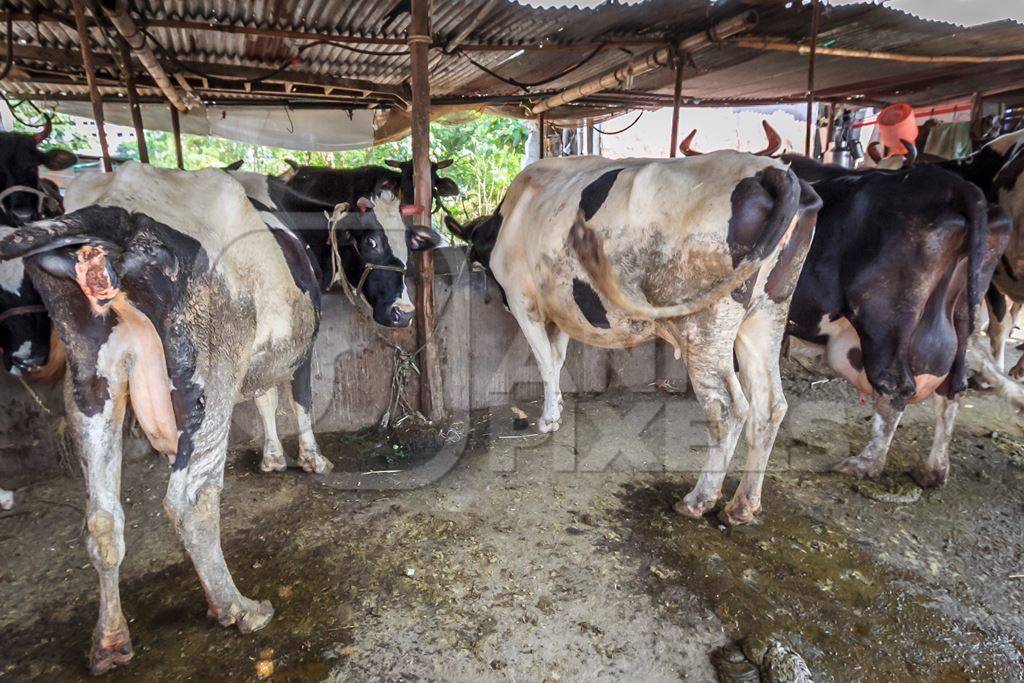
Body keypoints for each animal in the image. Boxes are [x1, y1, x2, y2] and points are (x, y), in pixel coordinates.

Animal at [0, 162, 331, 675]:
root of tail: (115, 210)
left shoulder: (259, 363)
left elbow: (263, 401)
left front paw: (273, 459)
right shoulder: (300, 347)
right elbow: (298, 401)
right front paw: (311, 461)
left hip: (91, 382)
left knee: (101, 516)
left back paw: (111, 641)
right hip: (211, 375)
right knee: (191, 500)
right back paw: (239, 608)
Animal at [452, 152, 819, 528]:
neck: (513, 215)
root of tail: (771, 170)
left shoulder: (523, 302)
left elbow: (543, 361)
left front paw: (548, 418)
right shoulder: (563, 309)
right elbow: (557, 358)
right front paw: (558, 408)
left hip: (706, 327)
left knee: (728, 409)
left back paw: (698, 500)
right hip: (766, 314)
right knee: (770, 405)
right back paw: (742, 505)